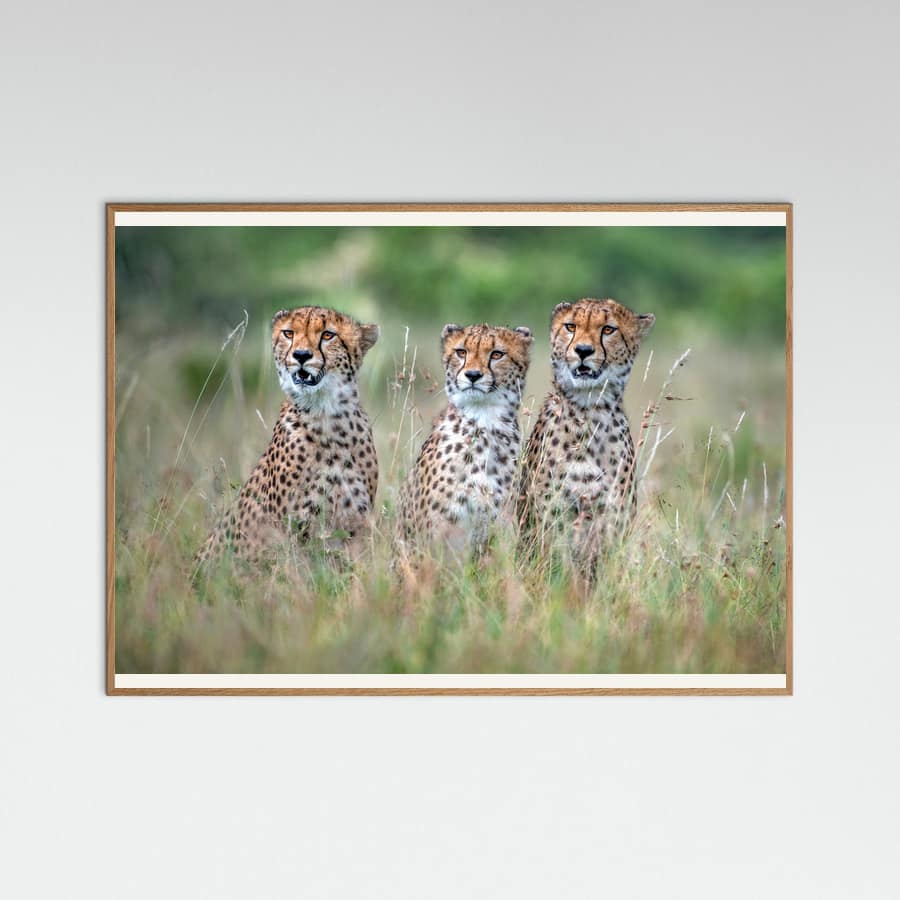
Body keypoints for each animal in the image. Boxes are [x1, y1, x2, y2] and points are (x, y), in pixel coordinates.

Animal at [195, 305, 380, 565]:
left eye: (328, 335)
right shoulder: (291, 529)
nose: (301, 355)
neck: (326, 414)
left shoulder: (356, 526)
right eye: (289, 333)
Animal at [518, 297, 655, 564]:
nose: (583, 350)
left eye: (608, 329)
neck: (589, 410)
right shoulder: (551, 522)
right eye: (570, 326)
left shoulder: (612, 521)